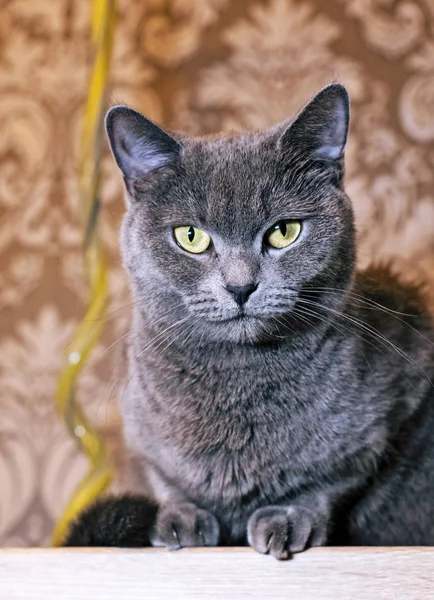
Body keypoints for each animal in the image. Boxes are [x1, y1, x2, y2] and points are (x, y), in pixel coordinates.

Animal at [63, 84, 434, 556]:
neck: (238, 381)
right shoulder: (140, 430)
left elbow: (329, 480)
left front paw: (287, 516)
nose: (240, 286)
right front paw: (181, 518)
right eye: (190, 237)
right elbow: (167, 480)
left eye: (284, 231)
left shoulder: (396, 396)